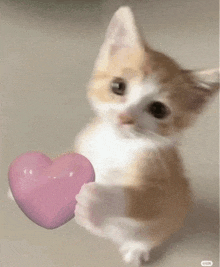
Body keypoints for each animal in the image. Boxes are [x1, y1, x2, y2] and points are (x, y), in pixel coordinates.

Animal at [73, 5, 218, 266]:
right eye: (118, 86)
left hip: (171, 216)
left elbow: (147, 201)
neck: (115, 145)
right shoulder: (85, 143)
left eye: (158, 109)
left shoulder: (163, 175)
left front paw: (98, 202)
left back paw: (134, 249)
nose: (125, 117)